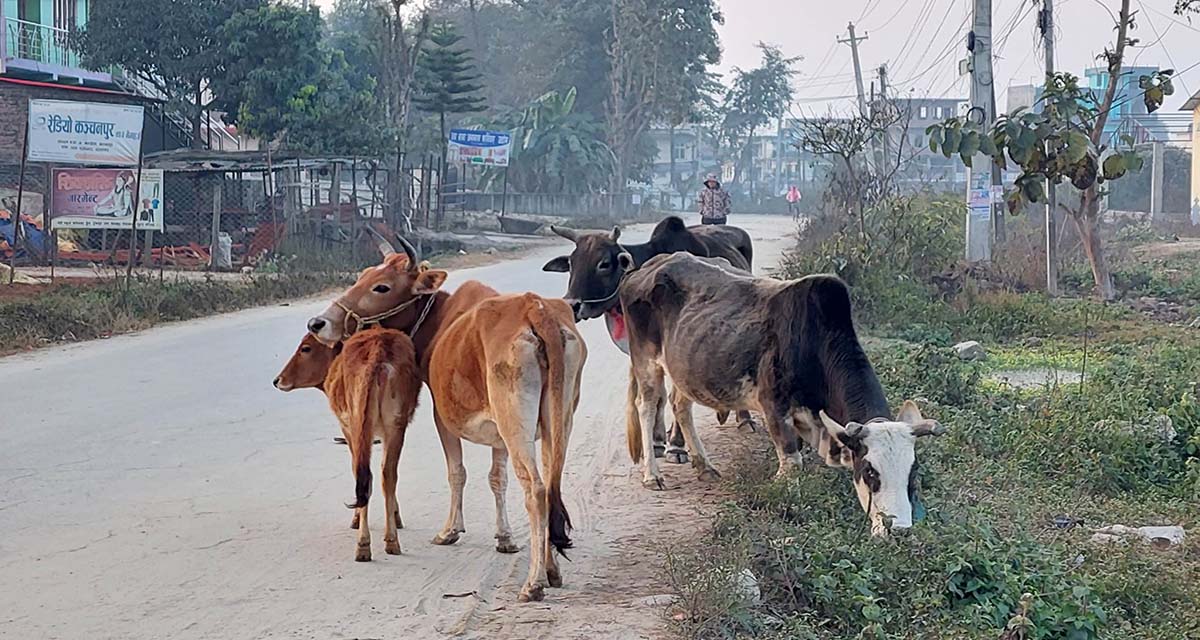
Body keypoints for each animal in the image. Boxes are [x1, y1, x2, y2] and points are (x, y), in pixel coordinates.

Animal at [274, 329, 422, 559]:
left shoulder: (348, 429)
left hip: (358, 424)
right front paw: (396, 515)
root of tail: (377, 351)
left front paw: (356, 519)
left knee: (365, 474)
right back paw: (391, 540)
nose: (277, 380)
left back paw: (363, 544)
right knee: (387, 474)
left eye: (306, 347)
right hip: (395, 424)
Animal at [619, 252, 945, 535]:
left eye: (913, 472)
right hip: (647, 361)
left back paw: (705, 467)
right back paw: (653, 475)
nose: (899, 531)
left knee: (680, 406)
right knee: (647, 406)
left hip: (686, 369)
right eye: (869, 471)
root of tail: (647, 267)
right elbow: (792, 465)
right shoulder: (775, 409)